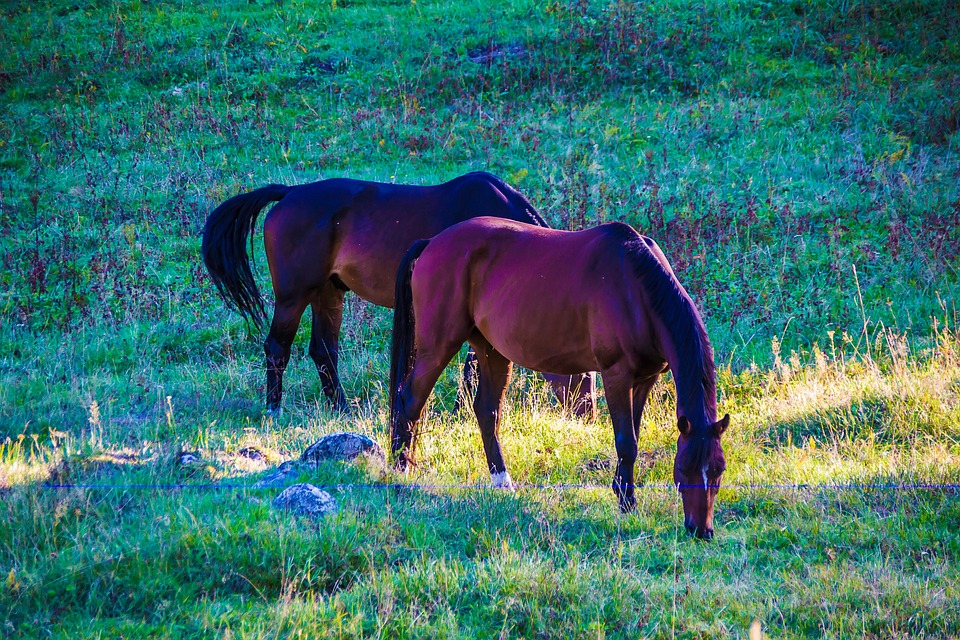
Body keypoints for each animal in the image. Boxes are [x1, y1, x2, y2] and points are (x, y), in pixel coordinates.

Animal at [201, 172, 595, 415]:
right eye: (583, 375)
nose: (587, 415)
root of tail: (289, 193)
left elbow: (472, 369)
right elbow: (471, 370)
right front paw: (459, 412)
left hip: (328, 292)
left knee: (323, 349)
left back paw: (341, 407)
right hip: (294, 295)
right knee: (278, 347)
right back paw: (274, 408)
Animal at [390, 217, 729, 539]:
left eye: (718, 471)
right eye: (683, 468)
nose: (701, 531)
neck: (637, 290)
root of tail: (432, 242)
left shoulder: (645, 379)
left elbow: (633, 435)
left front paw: (624, 493)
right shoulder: (617, 375)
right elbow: (626, 442)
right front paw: (626, 503)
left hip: (490, 350)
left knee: (487, 412)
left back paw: (503, 483)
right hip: (438, 346)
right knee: (410, 401)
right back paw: (399, 471)